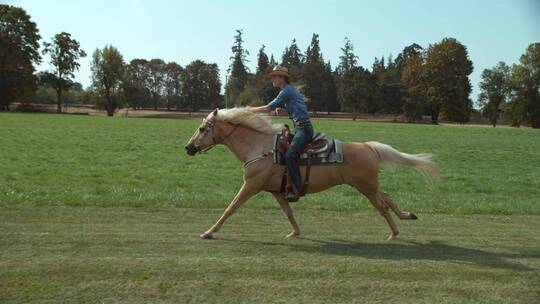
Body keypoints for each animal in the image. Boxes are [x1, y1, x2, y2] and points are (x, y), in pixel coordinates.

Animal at [185, 108, 438, 241]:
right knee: (386, 196)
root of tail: (367, 147)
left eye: (202, 128)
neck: (260, 147)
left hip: (365, 187)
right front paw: (294, 232)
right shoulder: (275, 191)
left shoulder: (251, 186)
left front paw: (209, 232)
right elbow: (288, 212)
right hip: (368, 186)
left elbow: (230, 207)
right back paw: (408, 216)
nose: (188, 147)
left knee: (382, 205)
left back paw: (394, 233)